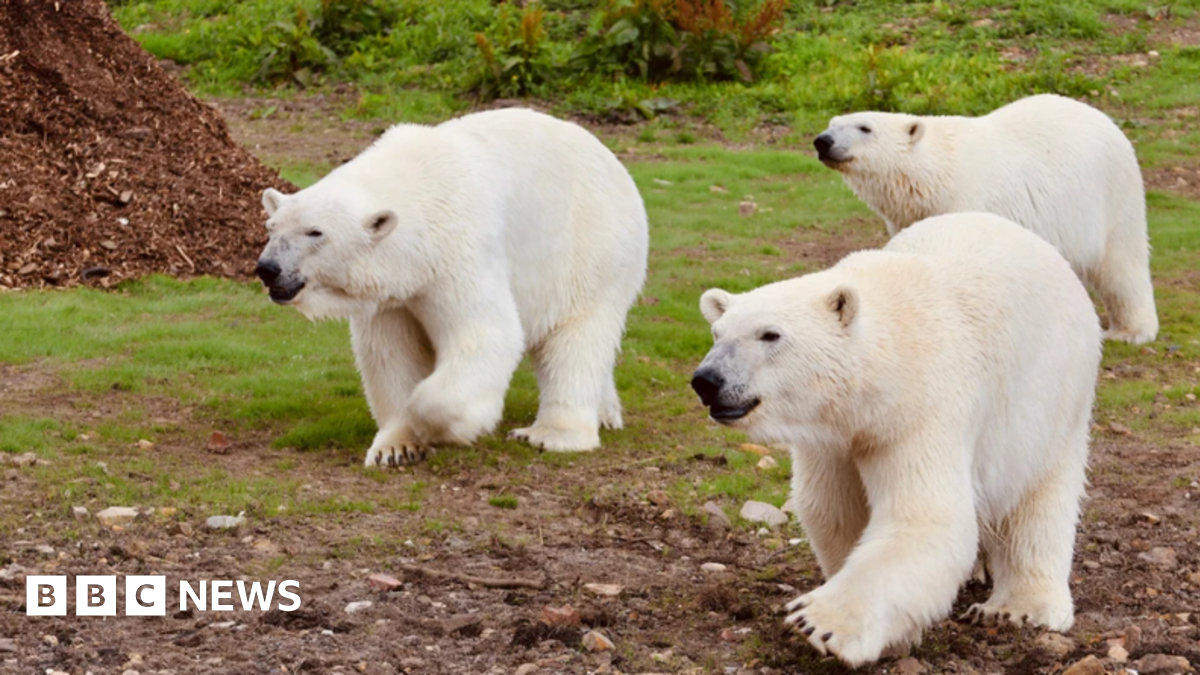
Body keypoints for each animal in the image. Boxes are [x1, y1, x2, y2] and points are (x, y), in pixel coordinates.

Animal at [255, 108, 649, 466]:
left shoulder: (458, 252)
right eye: (272, 226)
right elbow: (391, 354)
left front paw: (440, 427)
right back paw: (605, 412)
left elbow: (484, 335)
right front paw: (396, 448)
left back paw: (549, 434)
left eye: (315, 232)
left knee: (576, 336)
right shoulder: (393, 292)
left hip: (590, 249)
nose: (268, 269)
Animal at [691, 212, 1101, 667]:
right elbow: (832, 509)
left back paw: (1017, 608)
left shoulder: (924, 409)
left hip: (1053, 400)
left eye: (770, 334)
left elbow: (924, 519)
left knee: (1038, 501)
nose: (707, 380)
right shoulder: (835, 436)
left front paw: (818, 622)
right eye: (716, 332)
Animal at [813, 93, 1157, 345]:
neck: (938, 171)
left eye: (864, 127)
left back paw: (1130, 331)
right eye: (832, 122)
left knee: (1121, 262)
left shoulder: (967, 199)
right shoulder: (909, 215)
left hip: (1111, 193)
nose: (822, 141)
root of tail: (1103, 118)